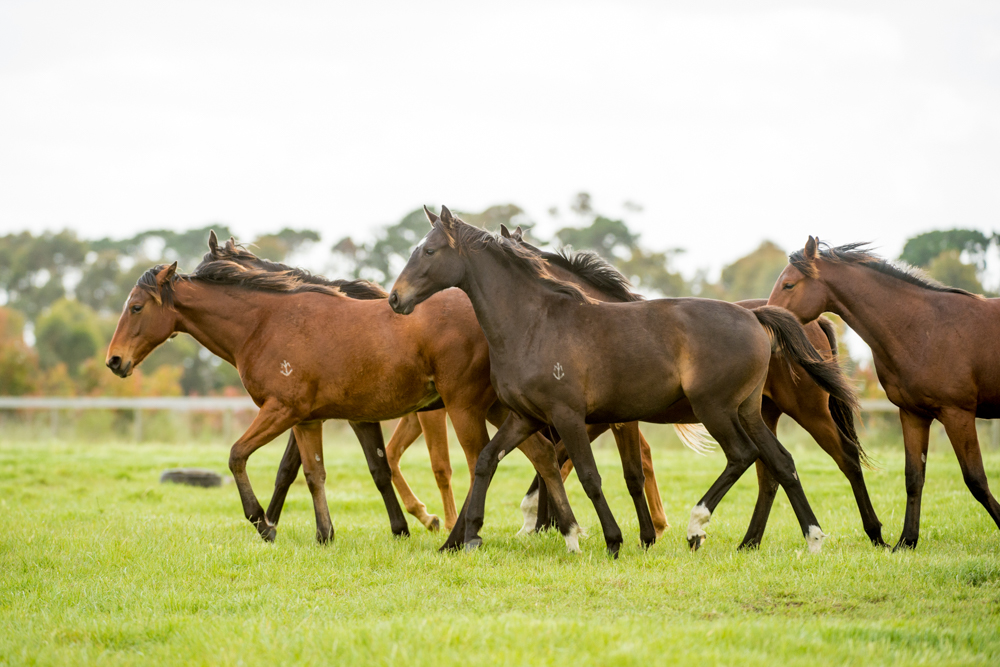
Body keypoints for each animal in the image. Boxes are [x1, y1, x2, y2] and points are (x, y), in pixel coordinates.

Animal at [103, 235, 580, 548]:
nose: (115, 360)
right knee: (542, 454)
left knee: (478, 460)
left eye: (136, 307)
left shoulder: (281, 411)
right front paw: (324, 532)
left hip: (463, 407)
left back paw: (462, 534)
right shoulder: (308, 419)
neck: (265, 322)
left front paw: (262, 522)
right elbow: (314, 473)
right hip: (499, 408)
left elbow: (239, 456)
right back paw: (566, 529)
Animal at [390, 206, 860, 556]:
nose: (395, 298)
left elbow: (589, 475)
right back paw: (810, 538)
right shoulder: (526, 417)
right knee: (780, 462)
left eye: (429, 251)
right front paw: (471, 537)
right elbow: (491, 461)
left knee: (745, 456)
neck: (534, 322)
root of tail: (755, 316)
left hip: (718, 409)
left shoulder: (571, 416)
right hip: (750, 411)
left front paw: (612, 540)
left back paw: (697, 526)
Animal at [768, 237, 1000, 552]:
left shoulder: (958, 415)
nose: (766, 332)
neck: (924, 328)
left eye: (789, 285)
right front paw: (906, 541)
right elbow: (914, 477)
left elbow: (976, 479)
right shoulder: (914, 415)